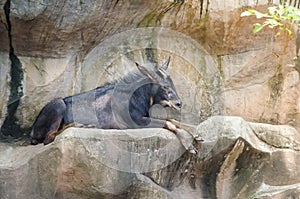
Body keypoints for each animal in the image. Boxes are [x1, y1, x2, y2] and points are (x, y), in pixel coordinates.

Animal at [30, 56, 199, 153]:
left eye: (171, 83)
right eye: (164, 86)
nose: (178, 103)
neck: (136, 96)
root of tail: (32, 131)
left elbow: (172, 120)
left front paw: (196, 132)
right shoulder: (136, 122)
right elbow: (167, 122)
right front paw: (190, 146)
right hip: (58, 105)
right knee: (49, 138)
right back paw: (82, 125)